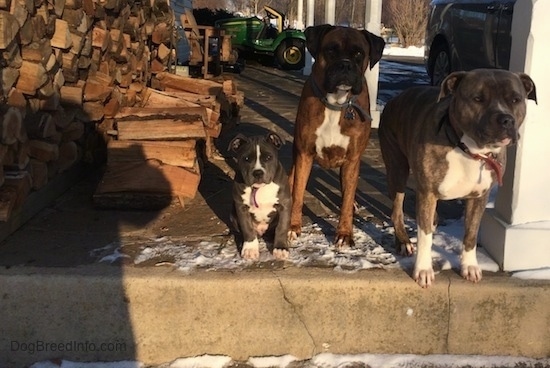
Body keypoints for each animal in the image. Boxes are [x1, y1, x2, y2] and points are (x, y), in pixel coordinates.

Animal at [292, 24, 386, 246]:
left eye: (359, 54)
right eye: (331, 50)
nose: (345, 65)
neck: (336, 103)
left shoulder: (352, 160)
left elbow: (347, 198)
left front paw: (344, 233)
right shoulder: (304, 155)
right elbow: (298, 193)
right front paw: (292, 227)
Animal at [382, 69, 536, 288]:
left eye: (515, 99)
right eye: (478, 98)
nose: (506, 119)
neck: (470, 150)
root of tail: (395, 98)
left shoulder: (479, 197)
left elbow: (471, 233)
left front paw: (469, 266)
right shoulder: (427, 193)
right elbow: (425, 236)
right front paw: (423, 270)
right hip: (397, 170)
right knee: (397, 209)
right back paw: (403, 242)